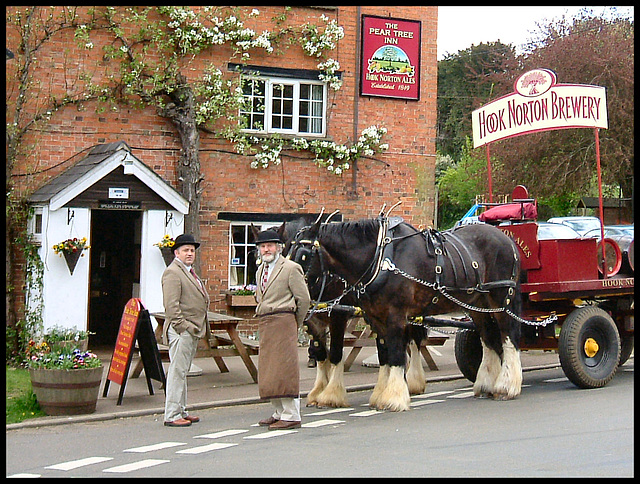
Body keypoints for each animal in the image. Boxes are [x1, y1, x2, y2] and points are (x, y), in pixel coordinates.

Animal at [288, 217, 524, 410]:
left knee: (508, 338)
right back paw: (485, 385)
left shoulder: (391, 316)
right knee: (489, 339)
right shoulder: (375, 318)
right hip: (478, 305)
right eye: (287, 253)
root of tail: (507, 239)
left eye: (303, 255)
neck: (381, 259)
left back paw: (507, 386)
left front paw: (393, 397)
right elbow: (383, 355)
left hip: (502, 300)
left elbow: (393, 354)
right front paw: (379, 395)